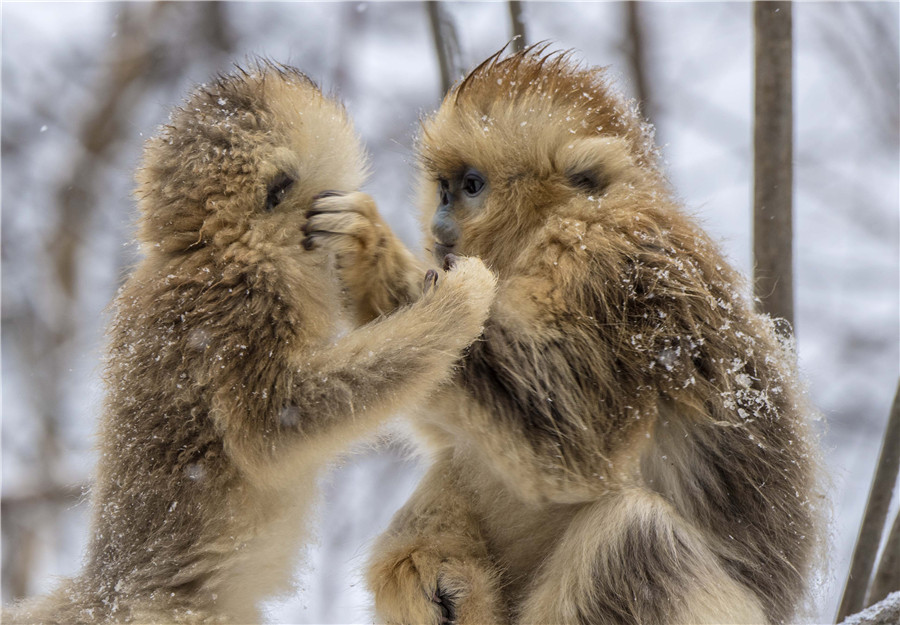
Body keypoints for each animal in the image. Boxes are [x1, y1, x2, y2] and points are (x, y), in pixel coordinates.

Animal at [3, 62, 496, 624]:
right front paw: (459, 304)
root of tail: (107, 592)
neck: (209, 246)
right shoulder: (248, 303)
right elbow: (272, 427)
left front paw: (361, 234)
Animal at [308, 50, 824, 624]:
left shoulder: (607, 266)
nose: (440, 225)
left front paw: (367, 250)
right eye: (443, 187)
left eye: (471, 187)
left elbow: (571, 445)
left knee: (633, 533)